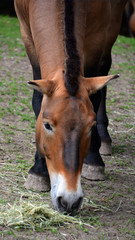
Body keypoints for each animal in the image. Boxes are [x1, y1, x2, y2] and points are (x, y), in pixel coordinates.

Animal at [14, 0, 128, 214]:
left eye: (91, 127)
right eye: (47, 125)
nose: (69, 201)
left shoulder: (97, 37)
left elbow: (96, 96)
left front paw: (94, 161)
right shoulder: (27, 34)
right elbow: (37, 99)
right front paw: (38, 172)